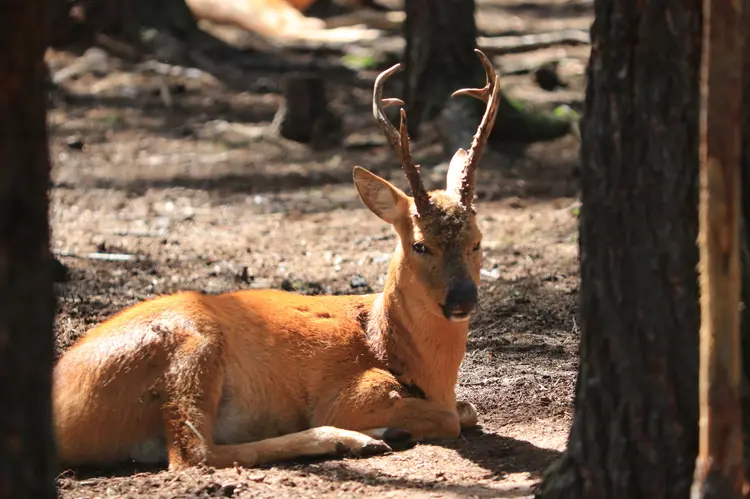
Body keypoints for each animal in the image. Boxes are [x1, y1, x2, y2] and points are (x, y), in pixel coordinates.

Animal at [51, 47, 500, 472]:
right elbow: (449, 418)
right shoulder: (349, 393)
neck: (389, 343)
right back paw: (356, 439)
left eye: (478, 242)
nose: (463, 298)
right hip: (191, 347)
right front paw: (386, 427)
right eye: (420, 245)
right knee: (192, 453)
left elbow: (469, 410)